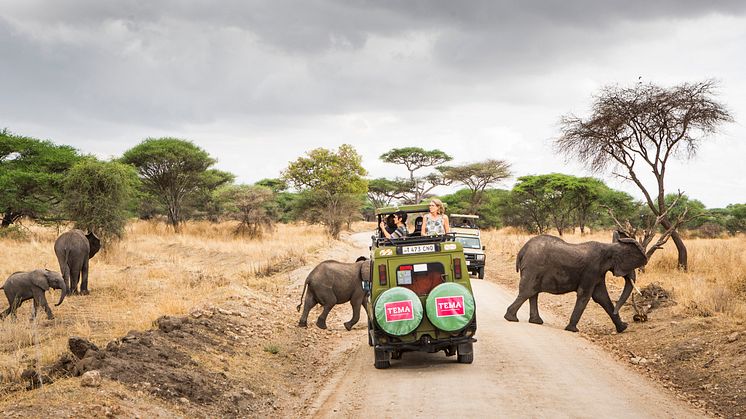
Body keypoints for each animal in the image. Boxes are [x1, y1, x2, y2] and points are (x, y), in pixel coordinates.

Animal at [506, 231, 644, 334]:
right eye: (631, 267)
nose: (632, 320)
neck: (610, 247)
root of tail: (522, 251)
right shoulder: (592, 269)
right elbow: (585, 295)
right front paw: (572, 330)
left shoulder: (598, 273)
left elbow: (601, 297)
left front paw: (623, 328)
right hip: (533, 267)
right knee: (528, 291)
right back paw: (511, 318)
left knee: (533, 292)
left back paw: (536, 321)